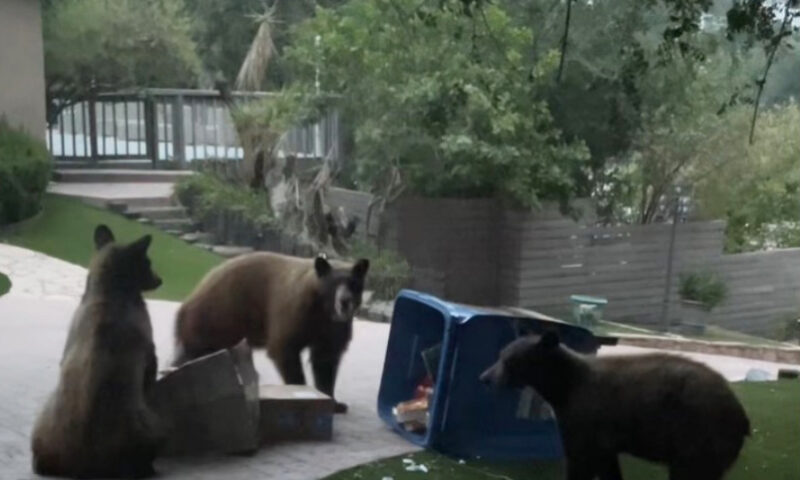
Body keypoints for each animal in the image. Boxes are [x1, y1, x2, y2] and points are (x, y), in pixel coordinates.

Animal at [31, 225, 164, 479]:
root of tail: (82, 466)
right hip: (151, 425)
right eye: (148, 262)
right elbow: (151, 378)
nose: (160, 279)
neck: (107, 292)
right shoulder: (151, 354)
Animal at [172, 252, 369, 414]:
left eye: (353, 283)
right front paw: (300, 390)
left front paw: (336, 403)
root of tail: (188, 301)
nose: (345, 302)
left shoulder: (333, 328)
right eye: (333, 283)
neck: (323, 311)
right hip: (216, 319)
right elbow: (285, 348)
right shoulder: (295, 312)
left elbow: (326, 360)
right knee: (196, 352)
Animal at [480, 332, 750, 480]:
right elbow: (608, 467)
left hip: (698, 438)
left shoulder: (584, 418)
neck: (564, 385)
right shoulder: (604, 440)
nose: (484, 378)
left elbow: (579, 462)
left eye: (508, 360)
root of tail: (741, 416)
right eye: (500, 355)